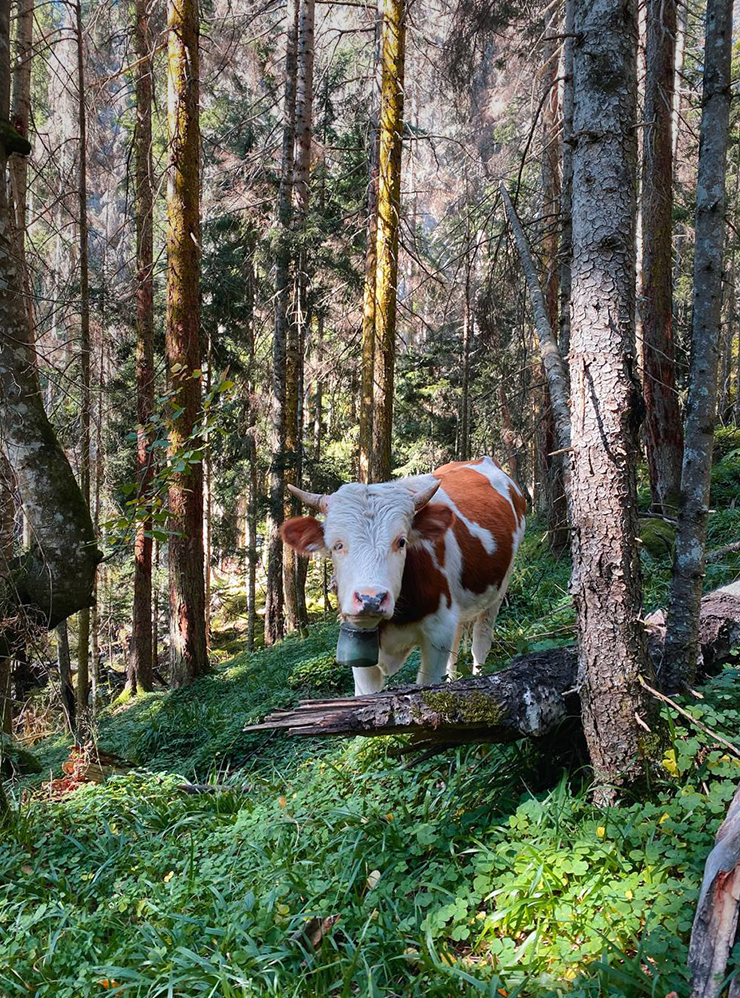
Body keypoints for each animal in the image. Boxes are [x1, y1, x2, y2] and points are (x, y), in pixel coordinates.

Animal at [278, 456, 528, 696]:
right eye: (337, 545)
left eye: (401, 541)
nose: (371, 599)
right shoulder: (358, 643)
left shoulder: (438, 633)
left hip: (498, 591)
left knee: (481, 641)